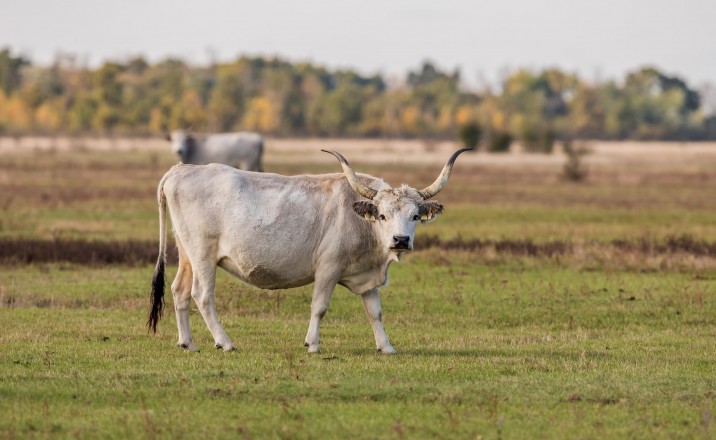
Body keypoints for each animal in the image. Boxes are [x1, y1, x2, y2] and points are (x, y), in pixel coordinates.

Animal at [147, 148, 470, 354]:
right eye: (382, 215)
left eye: (414, 216)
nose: (400, 239)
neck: (357, 219)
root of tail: (182, 170)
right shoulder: (328, 268)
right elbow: (320, 306)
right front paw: (312, 344)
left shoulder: (366, 278)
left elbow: (375, 312)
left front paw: (386, 346)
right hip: (203, 256)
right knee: (202, 296)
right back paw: (224, 342)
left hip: (187, 255)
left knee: (179, 292)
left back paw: (188, 343)